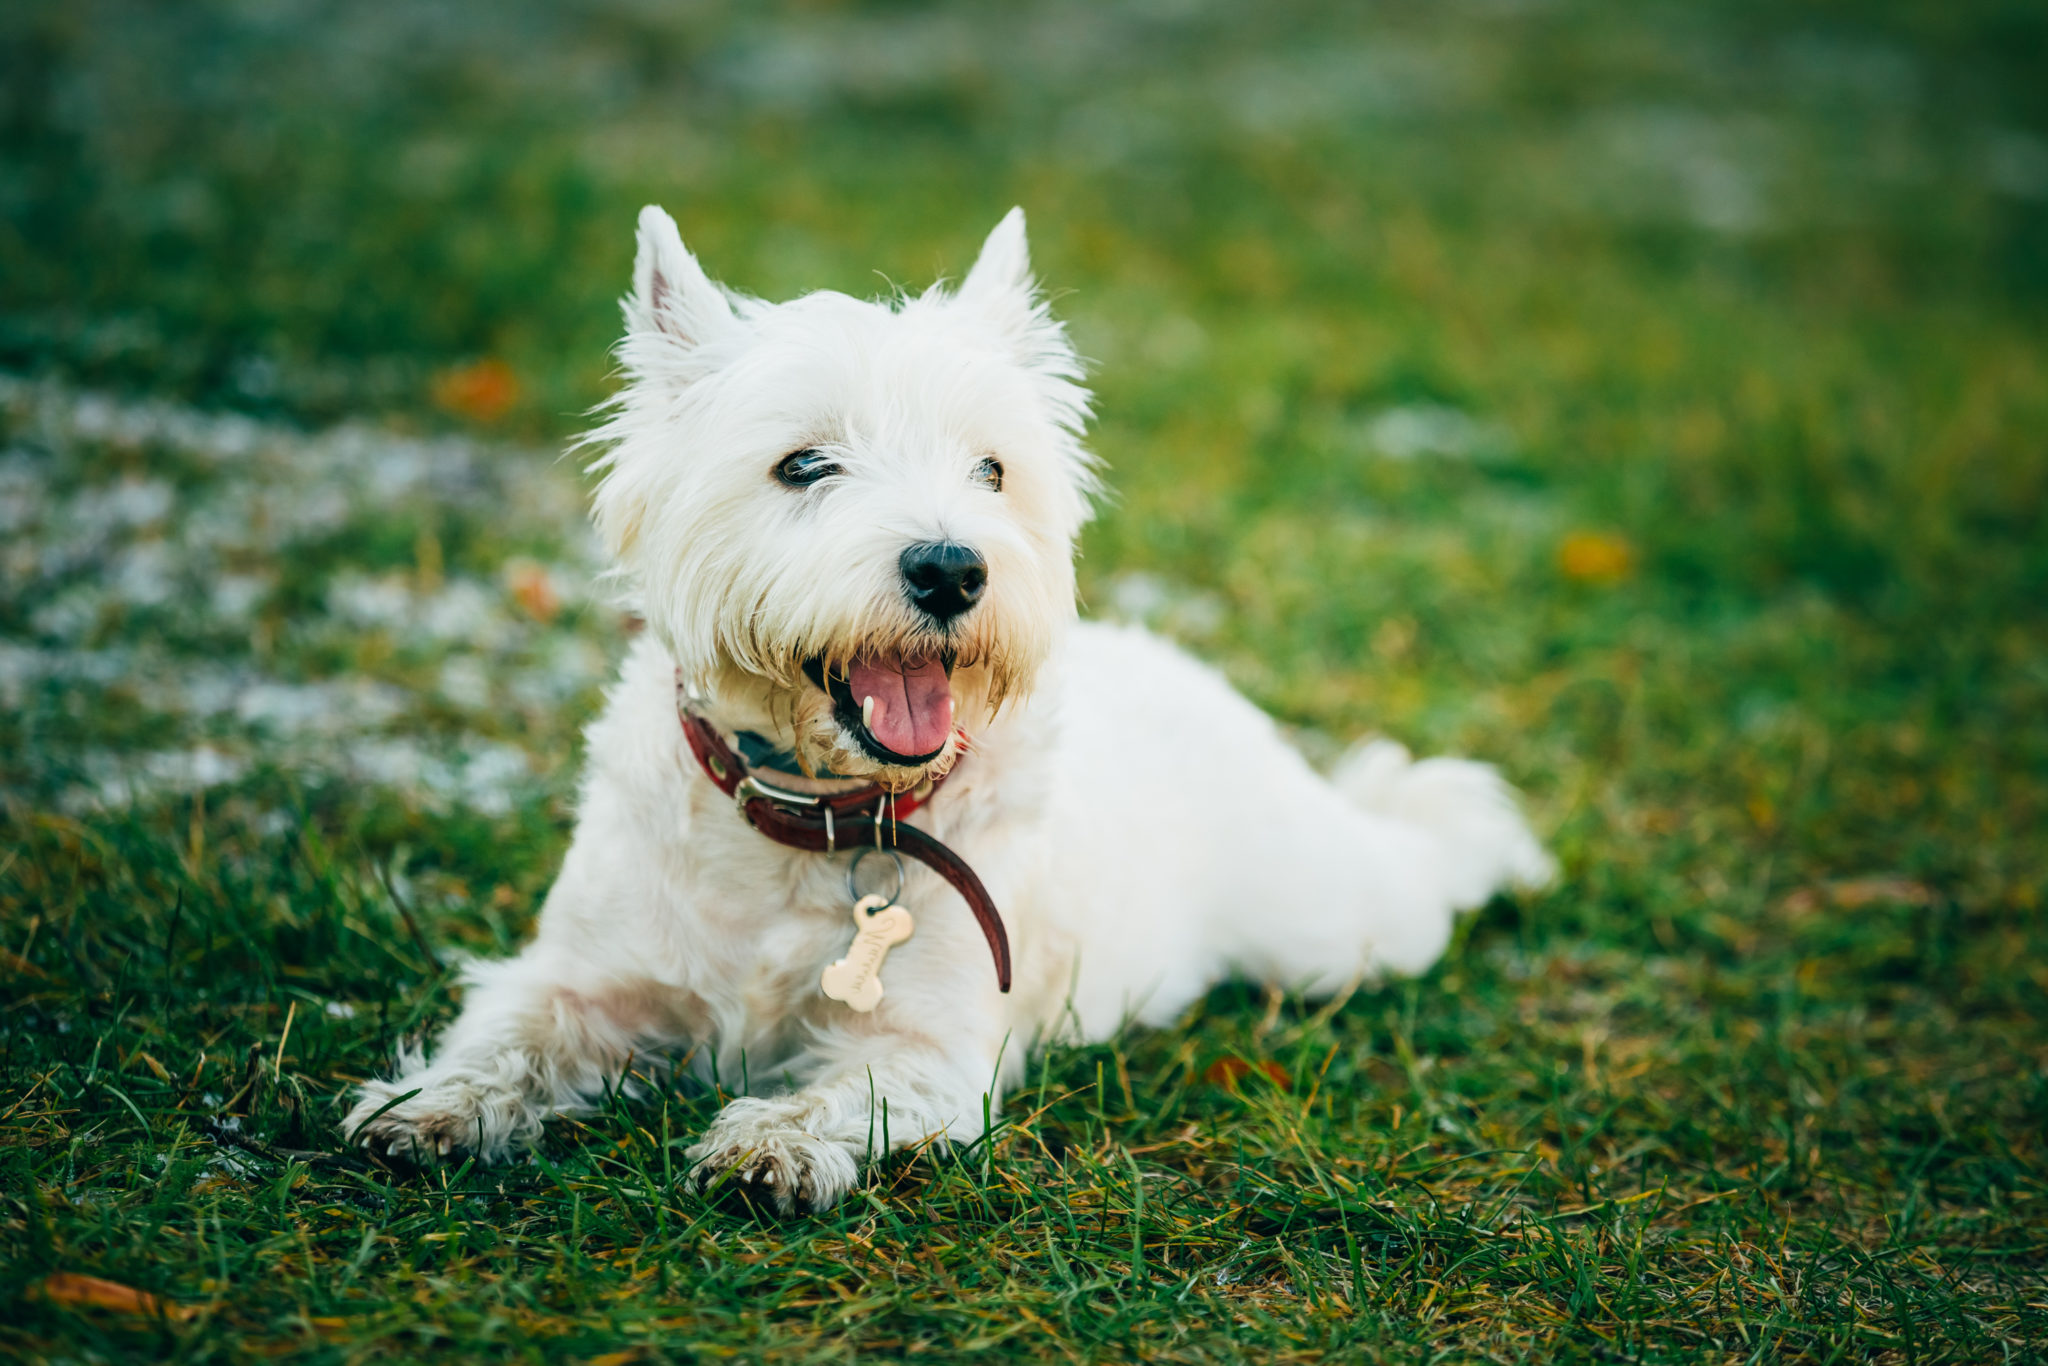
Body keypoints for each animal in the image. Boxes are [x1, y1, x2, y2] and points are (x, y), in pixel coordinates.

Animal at [344, 208, 1548, 1212]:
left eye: (992, 471)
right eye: (802, 464)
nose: (951, 569)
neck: (817, 816)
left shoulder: (932, 1047)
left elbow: (843, 1090)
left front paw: (769, 1143)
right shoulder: (587, 973)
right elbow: (511, 1030)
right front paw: (429, 1108)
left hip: (1330, 926)